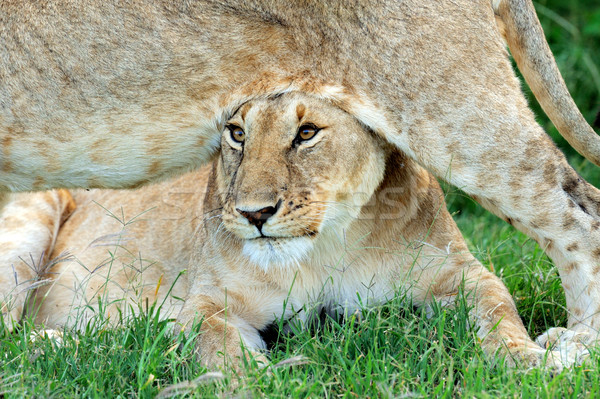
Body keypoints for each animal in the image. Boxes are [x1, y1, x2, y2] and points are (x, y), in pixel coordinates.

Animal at [1, 0, 600, 368]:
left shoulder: (460, 274)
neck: (326, 248)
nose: (254, 214)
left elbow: (496, 314)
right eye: (236, 133)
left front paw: (529, 361)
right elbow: (219, 344)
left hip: (450, 106)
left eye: (306, 133)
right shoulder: (211, 301)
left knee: (578, 216)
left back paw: (579, 345)